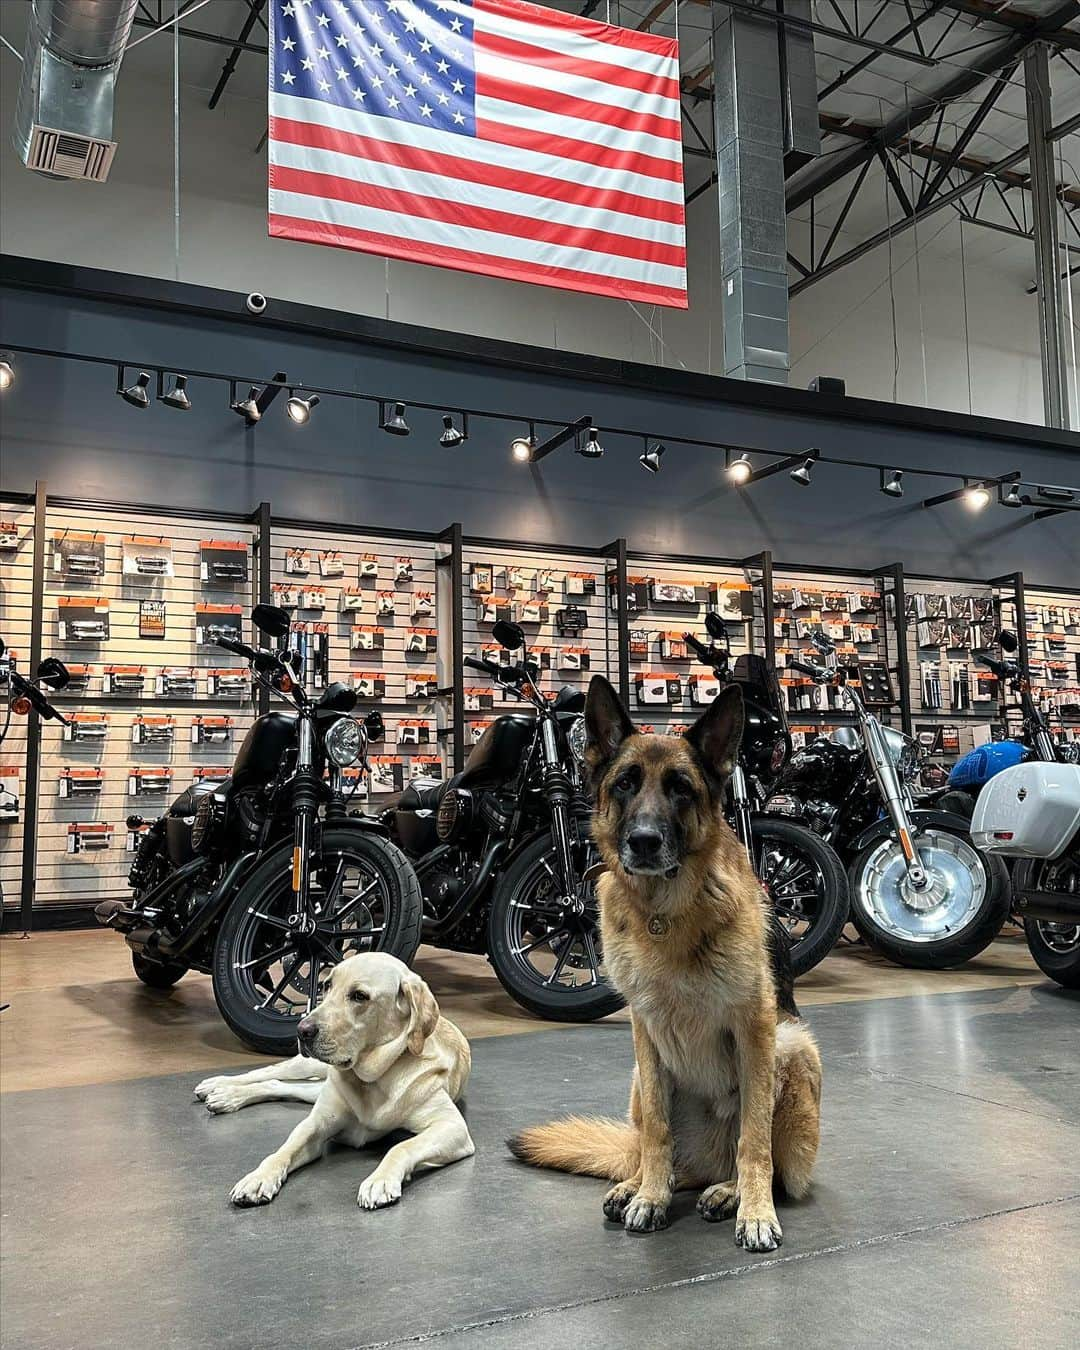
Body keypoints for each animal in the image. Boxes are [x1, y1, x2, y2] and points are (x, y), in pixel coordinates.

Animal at [195, 950, 475, 1215]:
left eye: (360, 996)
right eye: (326, 985)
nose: (302, 1029)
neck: (370, 1080)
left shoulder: (451, 1126)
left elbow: (401, 1147)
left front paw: (380, 1180)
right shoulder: (315, 1124)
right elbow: (283, 1150)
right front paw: (258, 1178)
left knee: (279, 1084)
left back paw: (226, 1095)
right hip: (308, 1066)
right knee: (269, 1072)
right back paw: (219, 1088)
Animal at [510, 680, 820, 1247]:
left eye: (681, 789)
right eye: (625, 784)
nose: (644, 842)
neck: (664, 914)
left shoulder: (757, 1027)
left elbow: (754, 1138)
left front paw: (755, 1212)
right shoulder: (645, 1030)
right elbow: (656, 1127)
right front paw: (650, 1196)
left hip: (793, 1046)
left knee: (758, 1159)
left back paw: (730, 1192)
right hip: (639, 1074)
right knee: (660, 1151)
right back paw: (638, 1182)